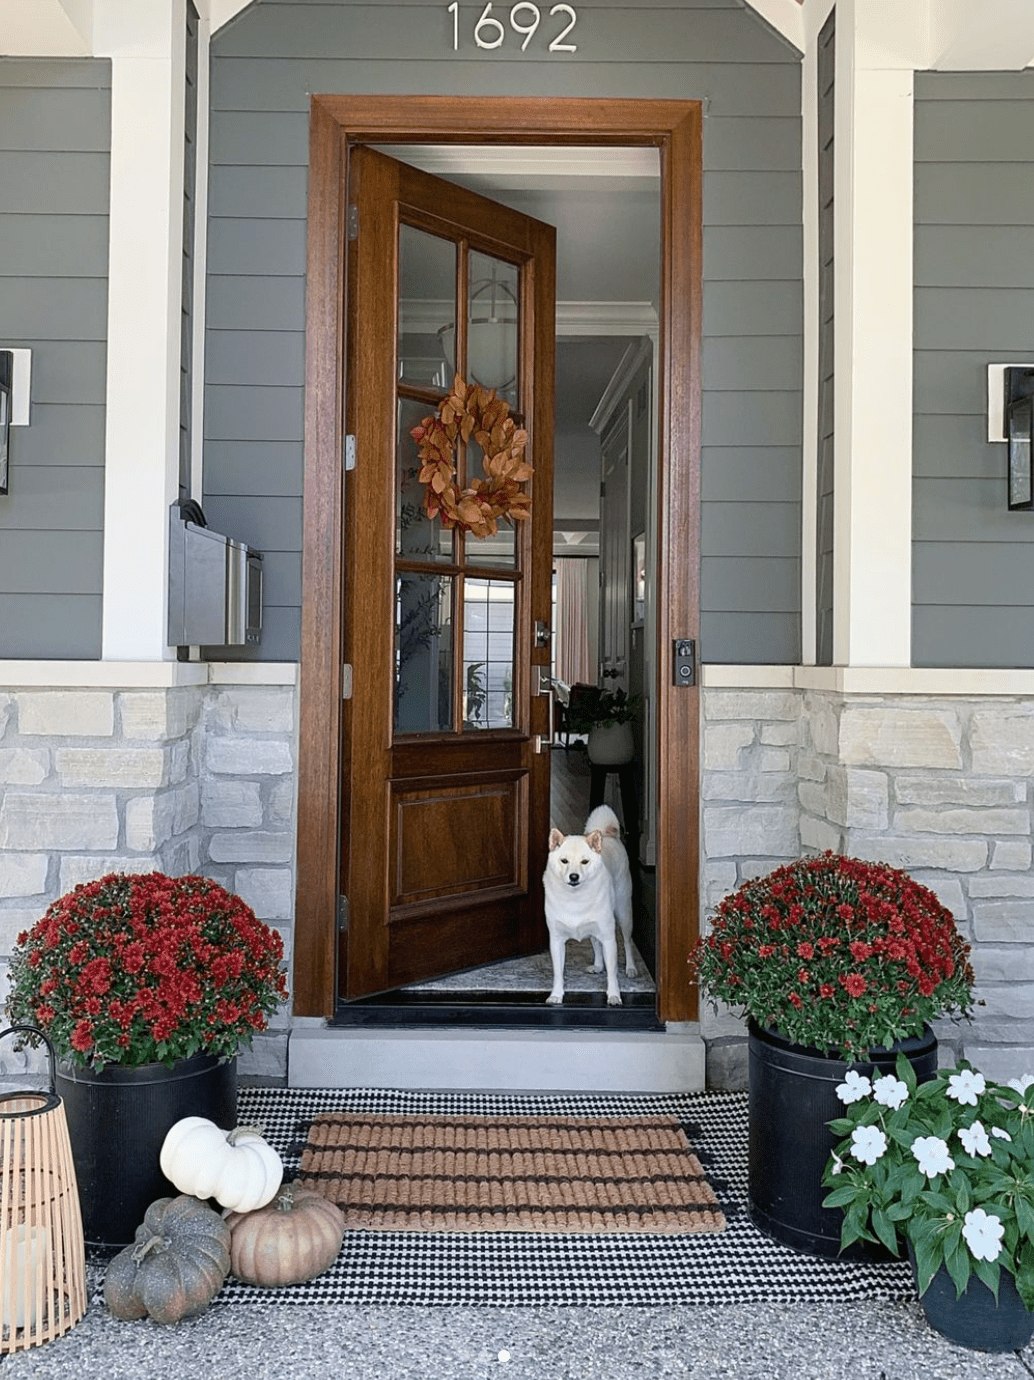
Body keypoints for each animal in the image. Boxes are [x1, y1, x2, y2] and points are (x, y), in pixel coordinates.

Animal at [541, 805, 637, 1010]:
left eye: (585, 861)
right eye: (564, 861)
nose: (574, 877)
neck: (575, 898)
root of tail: (609, 835)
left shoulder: (609, 938)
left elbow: (612, 973)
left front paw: (614, 996)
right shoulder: (556, 940)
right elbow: (558, 973)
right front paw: (556, 995)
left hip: (624, 914)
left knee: (627, 941)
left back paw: (631, 968)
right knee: (595, 942)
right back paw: (598, 965)